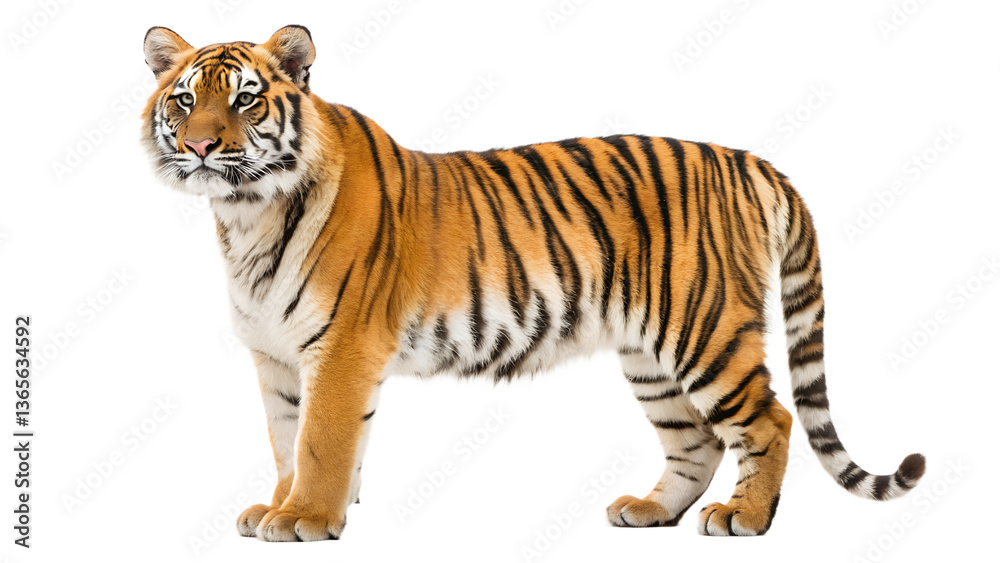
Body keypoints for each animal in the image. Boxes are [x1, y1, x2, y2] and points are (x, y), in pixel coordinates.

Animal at [141, 25, 925, 541]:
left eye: (245, 100)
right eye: (184, 101)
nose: (201, 144)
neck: (246, 213)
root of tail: (750, 159)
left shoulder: (340, 349)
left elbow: (321, 441)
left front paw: (304, 518)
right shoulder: (275, 356)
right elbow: (285, 438)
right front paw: (275, 506)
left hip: (708, 332)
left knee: (771, 419)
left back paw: (745, 517)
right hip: (650, 356)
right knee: (696, 440)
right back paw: (650, 510)